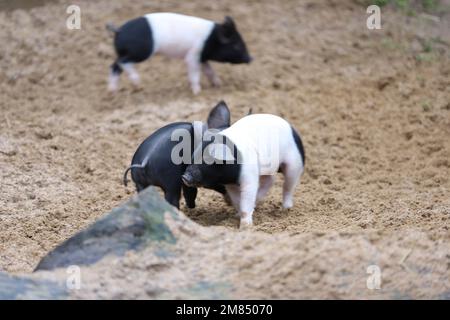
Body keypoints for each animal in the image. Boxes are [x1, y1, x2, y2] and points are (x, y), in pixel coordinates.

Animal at [107, 13, 251, 94]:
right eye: (237, 45)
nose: (251, 58)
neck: (211, 38)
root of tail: (118, 30)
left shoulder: (202, 57)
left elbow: (209, 71)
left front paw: (218, 84)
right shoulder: (193, 55)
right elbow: (195, 73)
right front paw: (197, 92)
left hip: (125, 53)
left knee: (114, 65)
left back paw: (113, 91)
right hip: (141, 52)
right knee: (122, 62)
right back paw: (137, 84)